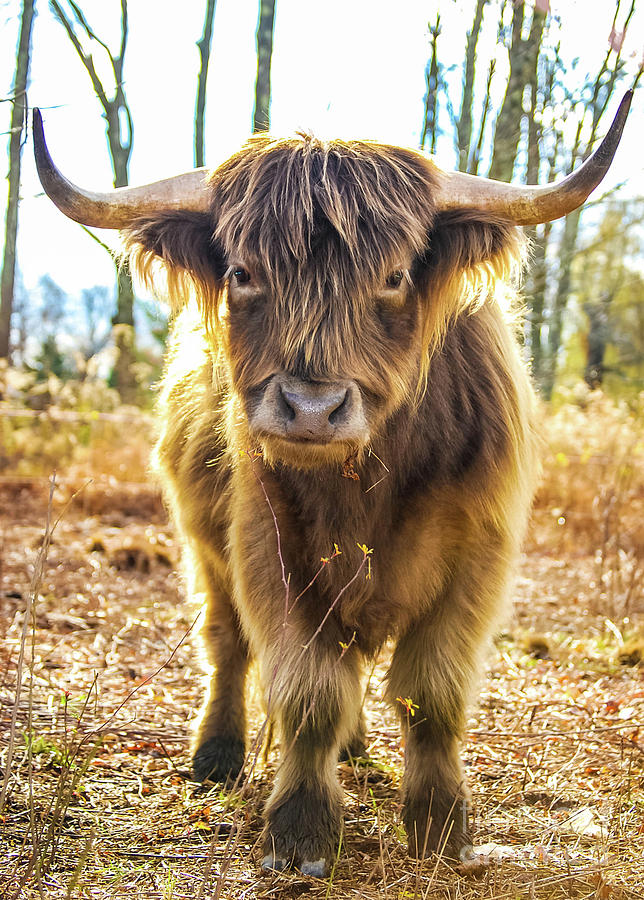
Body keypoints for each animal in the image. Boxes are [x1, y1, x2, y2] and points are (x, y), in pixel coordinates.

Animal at [32, 95, 632, 876]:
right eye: (243, 272)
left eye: (397, 275)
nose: (311, 409)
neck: (366, 486)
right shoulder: (270, 546)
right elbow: (308, 690)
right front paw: (302, 834)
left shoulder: (478, 553)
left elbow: (433, 693)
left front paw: (442, 829)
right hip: (202, 540)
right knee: (227, 642)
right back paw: (216, 755)